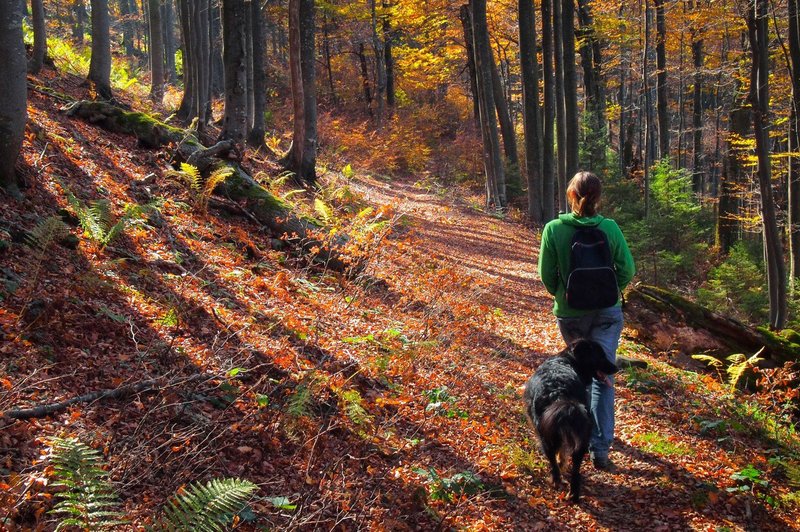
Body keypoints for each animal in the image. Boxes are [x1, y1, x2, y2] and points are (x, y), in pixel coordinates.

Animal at [520, 338, 620, 500]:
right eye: (601, 355)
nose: (616, 368)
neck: (568, 360)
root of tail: (560, 393)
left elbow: (559, 453)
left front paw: (561, 465)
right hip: (581, 435)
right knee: (576, 468)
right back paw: (573, 494)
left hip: (545, 434)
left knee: (552, 458)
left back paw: (556, 481)